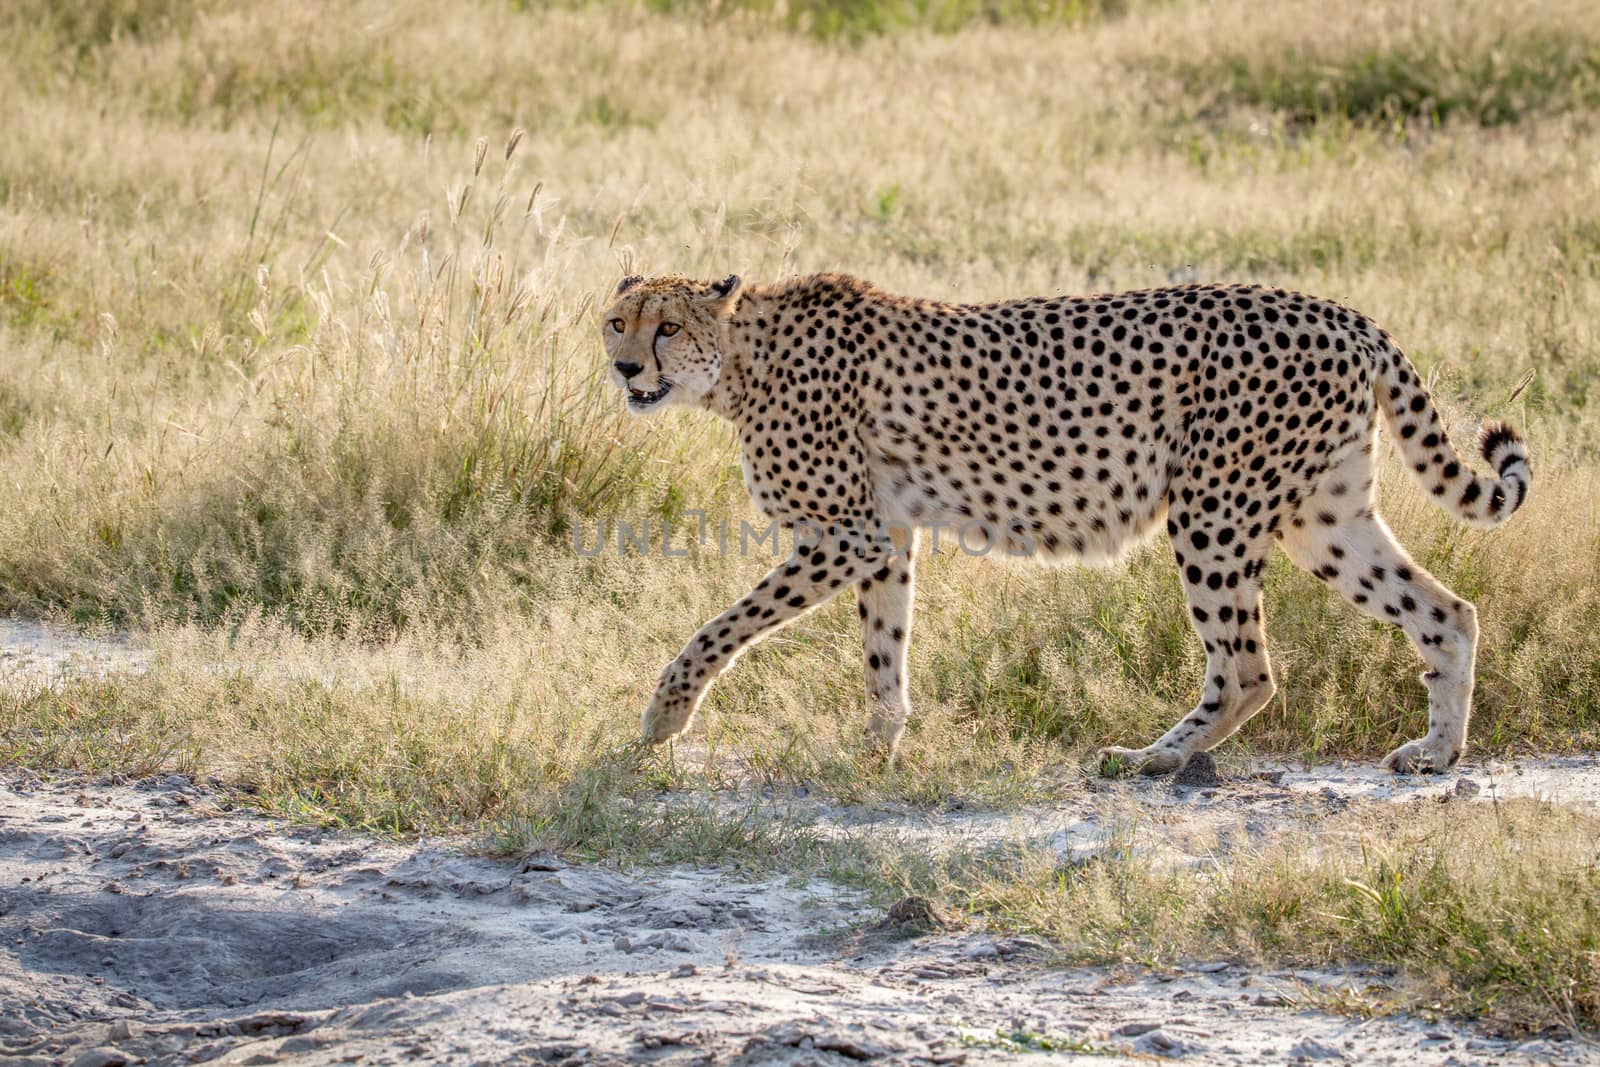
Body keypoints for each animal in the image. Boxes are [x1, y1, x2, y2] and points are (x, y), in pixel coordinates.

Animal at [601, 273, 1523, 777]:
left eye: (668, 325)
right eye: (618, 320)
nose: (623, 365)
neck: (739, 360)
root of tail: (1339, 312)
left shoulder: (843, 534)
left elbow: (721, 627)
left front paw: (663, 717)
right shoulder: (886, 535)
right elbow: (883, 650)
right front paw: (878, 749)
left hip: (1213, 511)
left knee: (1248, 668)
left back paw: (1155, 757)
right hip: (1321, 514)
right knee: (1447, 612)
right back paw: (1437, 752)